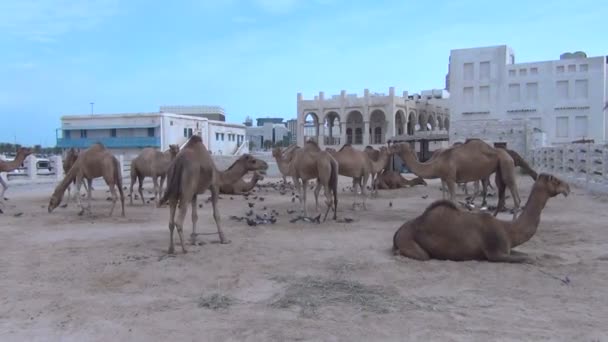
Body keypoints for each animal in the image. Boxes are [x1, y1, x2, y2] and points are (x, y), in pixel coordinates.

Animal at [392, 138, 520, 216]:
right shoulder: (445, 178)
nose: (390, 145)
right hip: (500, 167)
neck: (437, 163)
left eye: (397, 146)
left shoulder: (450, 178)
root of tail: (508, 154)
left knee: (514, 194)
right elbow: (449, 198)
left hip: (506, 162)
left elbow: (453, 200)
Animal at [394, 174, 568, 262]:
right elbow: (528, 259)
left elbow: (524, 255)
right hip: (408, 240)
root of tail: (397, 233)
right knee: (423, 256)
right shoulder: (495, 253)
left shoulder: (507, 249)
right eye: (556, 181)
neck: (508, 230)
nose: (568, 187)